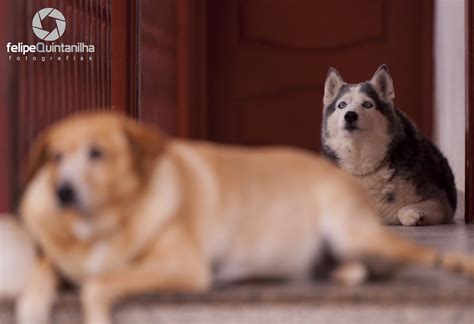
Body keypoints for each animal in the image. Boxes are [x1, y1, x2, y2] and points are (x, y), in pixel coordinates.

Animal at [20, 112, 474, 322]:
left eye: (97, 154)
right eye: (55, 157)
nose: (63, 191)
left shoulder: (183, 266)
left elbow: (98, 286)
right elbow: (43, 274)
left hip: (359, 236)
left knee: (423, 255)